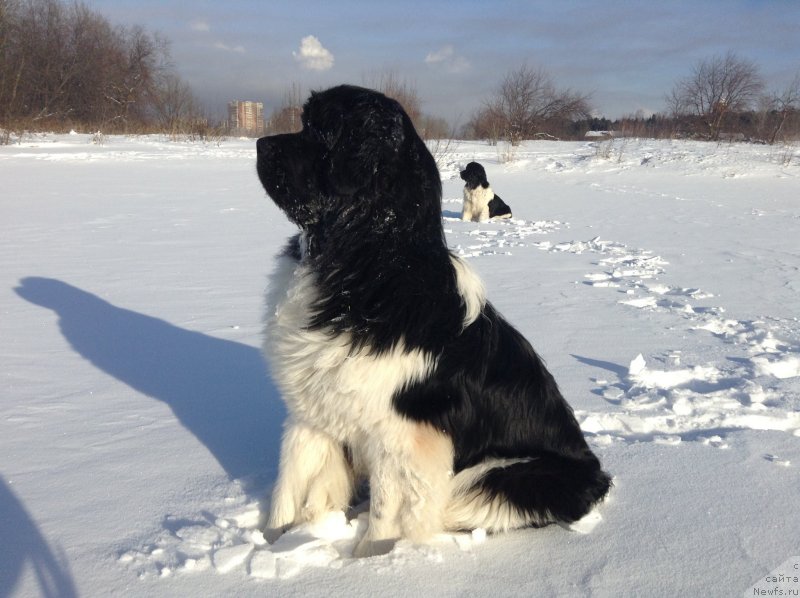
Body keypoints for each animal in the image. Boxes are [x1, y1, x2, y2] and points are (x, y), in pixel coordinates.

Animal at [256, 86, 612, 560]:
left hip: (498, 478)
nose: (260, 145)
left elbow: (389, 508)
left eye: (321, 130)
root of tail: (596, 472)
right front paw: (273, 544)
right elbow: (290, 485)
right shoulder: (312, 411)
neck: (360, 266)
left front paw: (369, 559)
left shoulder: (403, 434)